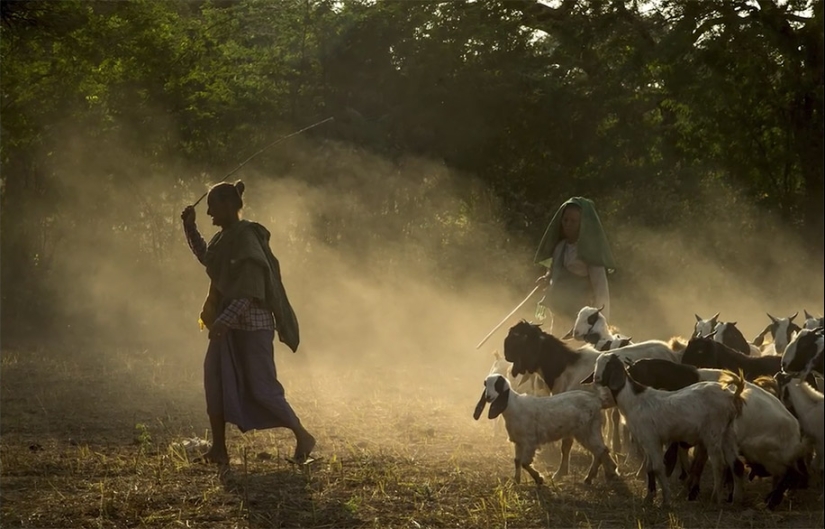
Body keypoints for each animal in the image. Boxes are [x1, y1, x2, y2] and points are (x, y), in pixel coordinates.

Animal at [470, 374, 616, 484]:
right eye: (485, 384)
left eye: (498, 384)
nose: (488, 397)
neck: (513, 407)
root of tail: (597, 400)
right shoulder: (519, 442)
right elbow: (517, 461)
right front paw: (516, 480)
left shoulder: (530, 442)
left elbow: (524, 463)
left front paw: (538, 478)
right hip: (589, 430)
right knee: (600, 451)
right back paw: (604, 475)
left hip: (587, 430)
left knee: (600, 450)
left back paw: (594, 476)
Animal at [588, 352, 744, 506]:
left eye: (609, 365)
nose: (596, 378)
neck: (634, 400)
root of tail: (732, 396)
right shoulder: (646, 441)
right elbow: (650, 468)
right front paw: (649, 497)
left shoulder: (651, 439)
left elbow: (658, 468)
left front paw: (666, 500)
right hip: (727, 432)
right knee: (736, 464)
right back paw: (736, 499)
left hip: (713, 433)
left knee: (719, 465)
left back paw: (715, 499)